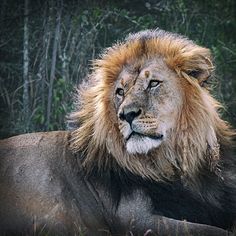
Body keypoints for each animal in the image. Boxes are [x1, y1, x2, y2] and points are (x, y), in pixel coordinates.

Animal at [0, 28, 234, 235]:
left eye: (154, 83)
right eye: (120, 91)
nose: (126, 114)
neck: (175, 164)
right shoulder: (134, 218)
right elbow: (211, 230)